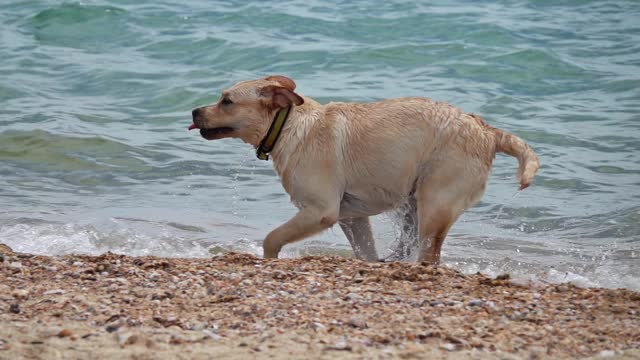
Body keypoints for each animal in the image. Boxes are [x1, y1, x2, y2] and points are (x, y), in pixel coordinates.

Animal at [190, 75, 540, 264]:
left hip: (435, 203)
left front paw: (269, 261)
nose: (194, 110)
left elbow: (271, 238)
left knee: (429, 254)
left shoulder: (320, 211)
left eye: (226, 101)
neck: (288, 124)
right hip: (414, 205)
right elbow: (365, 253)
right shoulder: (353, 217)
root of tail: (486, 131)